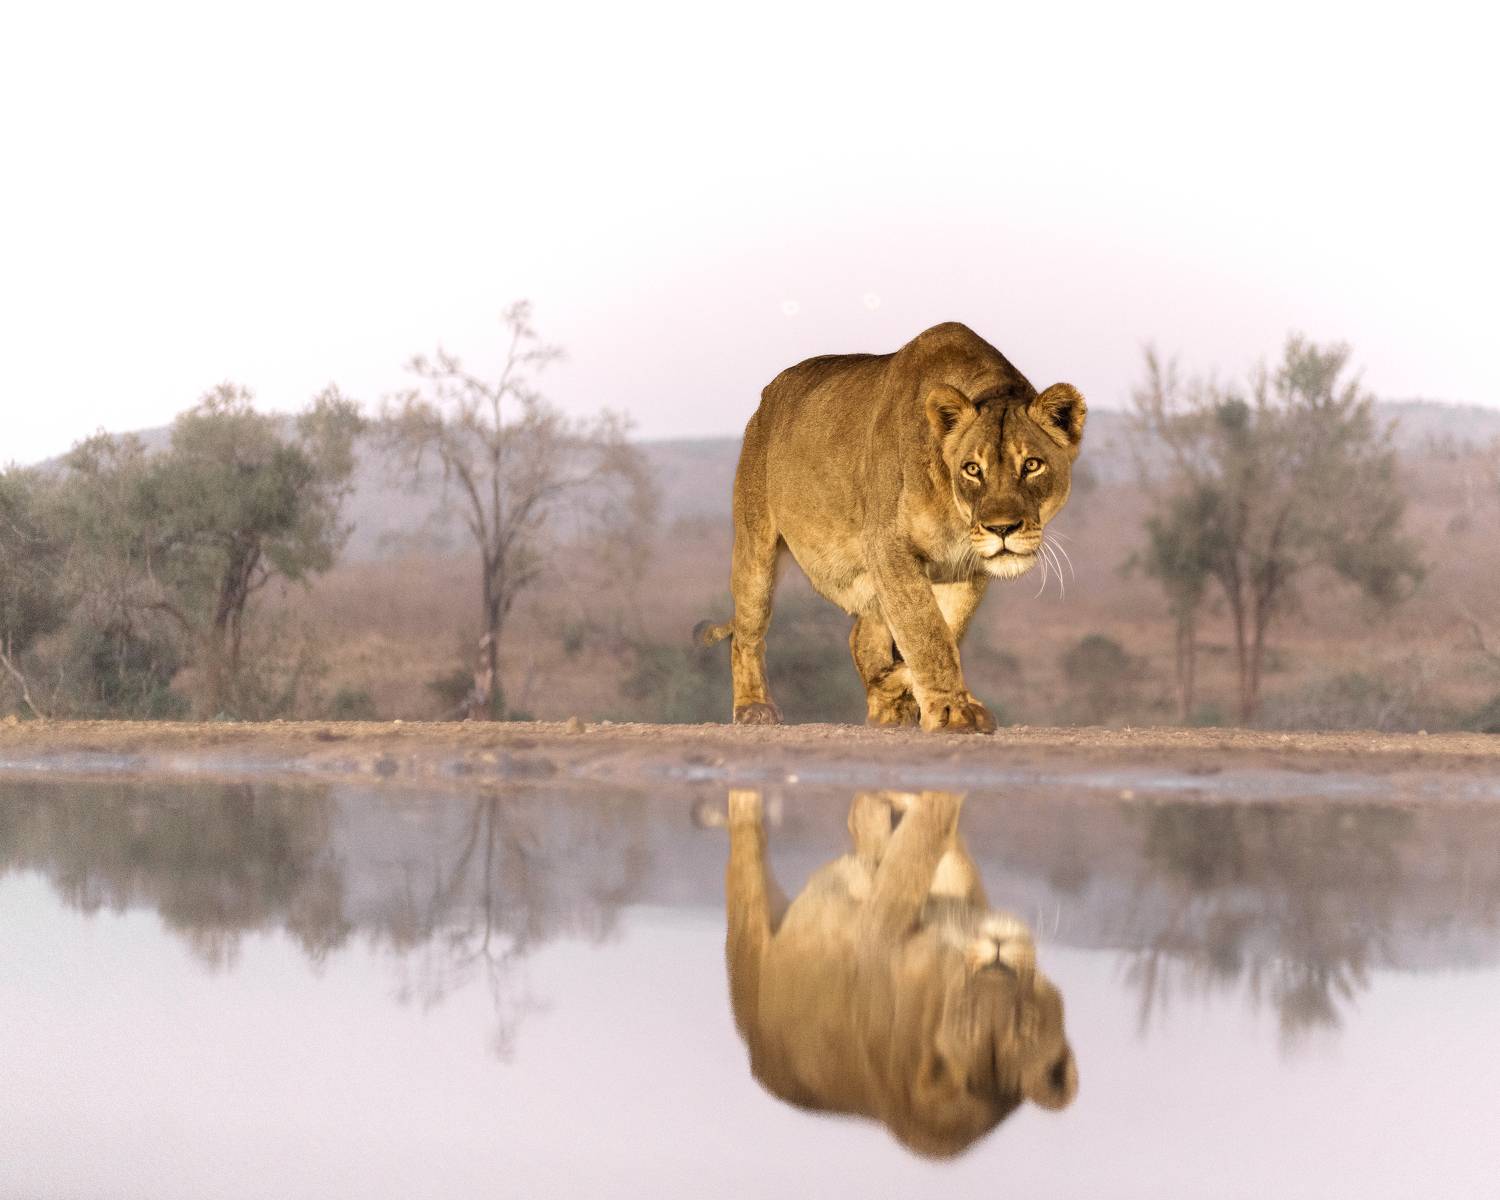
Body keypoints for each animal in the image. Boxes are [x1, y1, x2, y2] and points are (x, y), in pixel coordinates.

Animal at [695, 322, 1086, 732]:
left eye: (1032, 465)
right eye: (972, 469)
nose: (1002, 529)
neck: (956, 512)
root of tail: (768, 394)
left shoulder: (964, 568)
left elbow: (941, 632)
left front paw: (897, 689)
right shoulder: (887, 546)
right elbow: (926, 632)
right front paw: (951, 710)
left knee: (861, 634)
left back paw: (886, 707)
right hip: (756, 548)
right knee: (747, 632)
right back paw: (754, 707)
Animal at [724, 788, 1077, 1158]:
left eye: (1022, 1018)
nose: (997, 956)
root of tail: (755, 1051)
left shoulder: (880, 922)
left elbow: (920, 841)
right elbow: (939, 848)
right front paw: (893, 804)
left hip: (751, 935)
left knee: (748, 848)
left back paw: (749, 800)